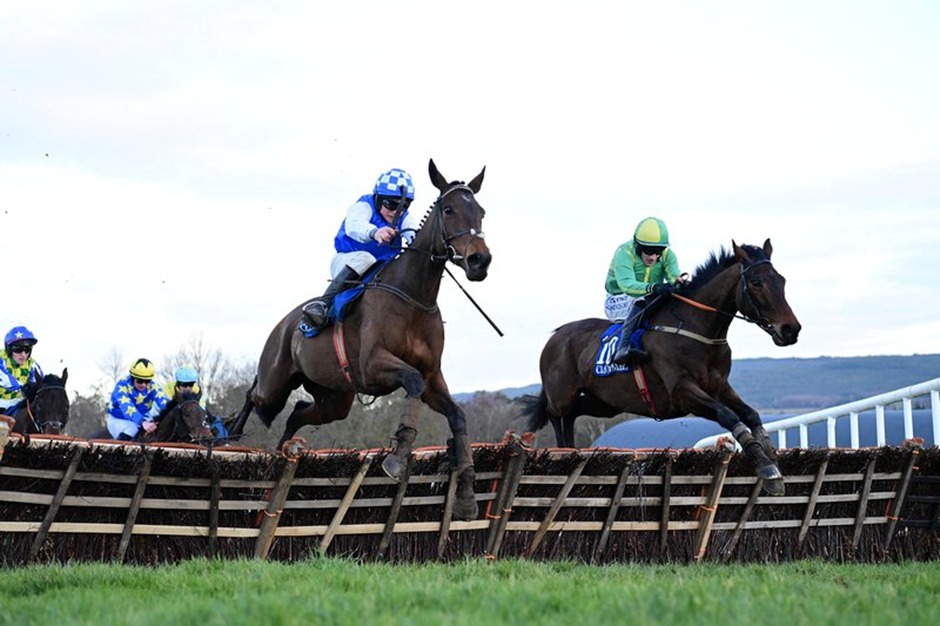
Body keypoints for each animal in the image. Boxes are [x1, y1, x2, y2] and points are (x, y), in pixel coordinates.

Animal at [228, 159, 491, 520]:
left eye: (481, 211)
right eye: (449, 209)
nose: (480, 260)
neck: (413, 297)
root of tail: (285, 324)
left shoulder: (432, 376)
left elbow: (457, 416)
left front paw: (466, 494)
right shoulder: (373, 365)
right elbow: (411, 382)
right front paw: (397, 456)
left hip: (334, 398)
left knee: (297, 413)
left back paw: (284, 451)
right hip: (276, 382)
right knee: (254, 393)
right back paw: (230, 433)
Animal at [521, 240, 801, 496]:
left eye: (782, 280)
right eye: (755, 282)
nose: (791, 329)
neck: (698, 330)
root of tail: (556, 335)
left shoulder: (720, 386)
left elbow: (751, 414)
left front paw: (771, 457)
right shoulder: (682, 392)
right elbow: (729, 416)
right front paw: (767, 468)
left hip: (605, 403)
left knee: (573, 414)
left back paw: (571, 451)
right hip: (562, 395)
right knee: (556, 413)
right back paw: (562, 452)